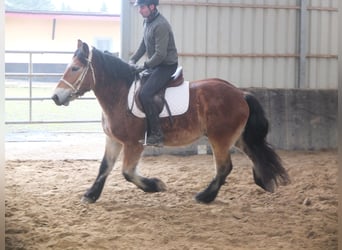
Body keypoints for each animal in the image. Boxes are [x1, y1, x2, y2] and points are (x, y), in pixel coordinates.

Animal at [52, 39, 290, 203]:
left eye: (75, 68)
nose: (55, 97)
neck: (119, 95)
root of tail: (240, 93)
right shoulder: (114, 140)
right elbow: (104, 167)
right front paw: (91, 195)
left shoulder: (133, 143)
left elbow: (127, 172)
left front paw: (155, 185)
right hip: (236, 137)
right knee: (253, 153)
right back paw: (264, 181)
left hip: (220, 138)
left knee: (224, 167)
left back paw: (205, 196)